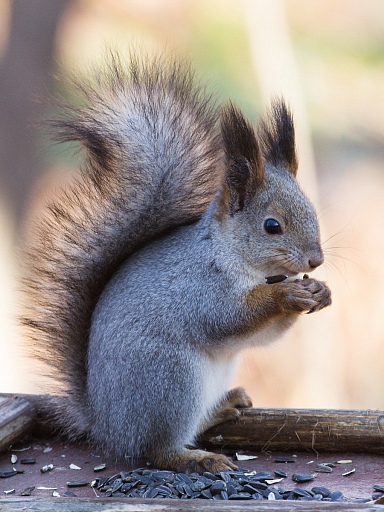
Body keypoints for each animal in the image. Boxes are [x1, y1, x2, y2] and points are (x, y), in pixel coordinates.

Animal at [22, 52, 332, 472]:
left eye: (312, 211)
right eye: (272, 226)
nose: (316, 261)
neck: (232, 257)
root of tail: (107, 427)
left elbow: (263, 335)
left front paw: (320, 291)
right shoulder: (198, 286)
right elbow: (227, 317)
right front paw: (286, 296)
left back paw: (224, 407)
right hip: (170, 380)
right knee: (156, 450)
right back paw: (199, 459)